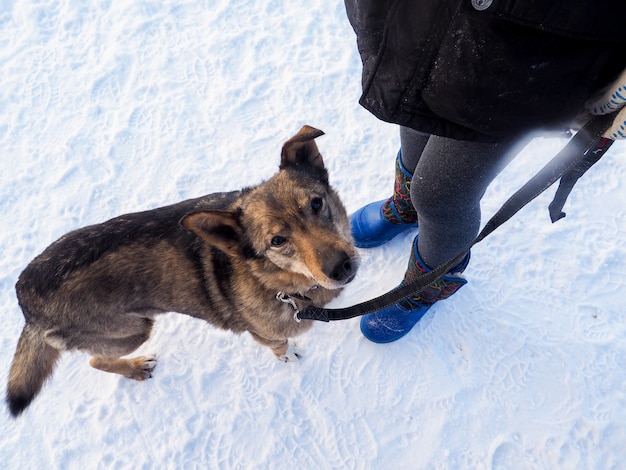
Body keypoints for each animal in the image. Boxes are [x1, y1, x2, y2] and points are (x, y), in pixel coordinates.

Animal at [7, 125, 356, 414]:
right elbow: (279, 345)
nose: (341, 267)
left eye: (316, 204)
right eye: (277, 240)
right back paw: (136, 368)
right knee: (95, 359)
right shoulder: (264, 333)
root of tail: (24, 296)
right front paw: (288, 354)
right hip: (133, 329)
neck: (277, 282)